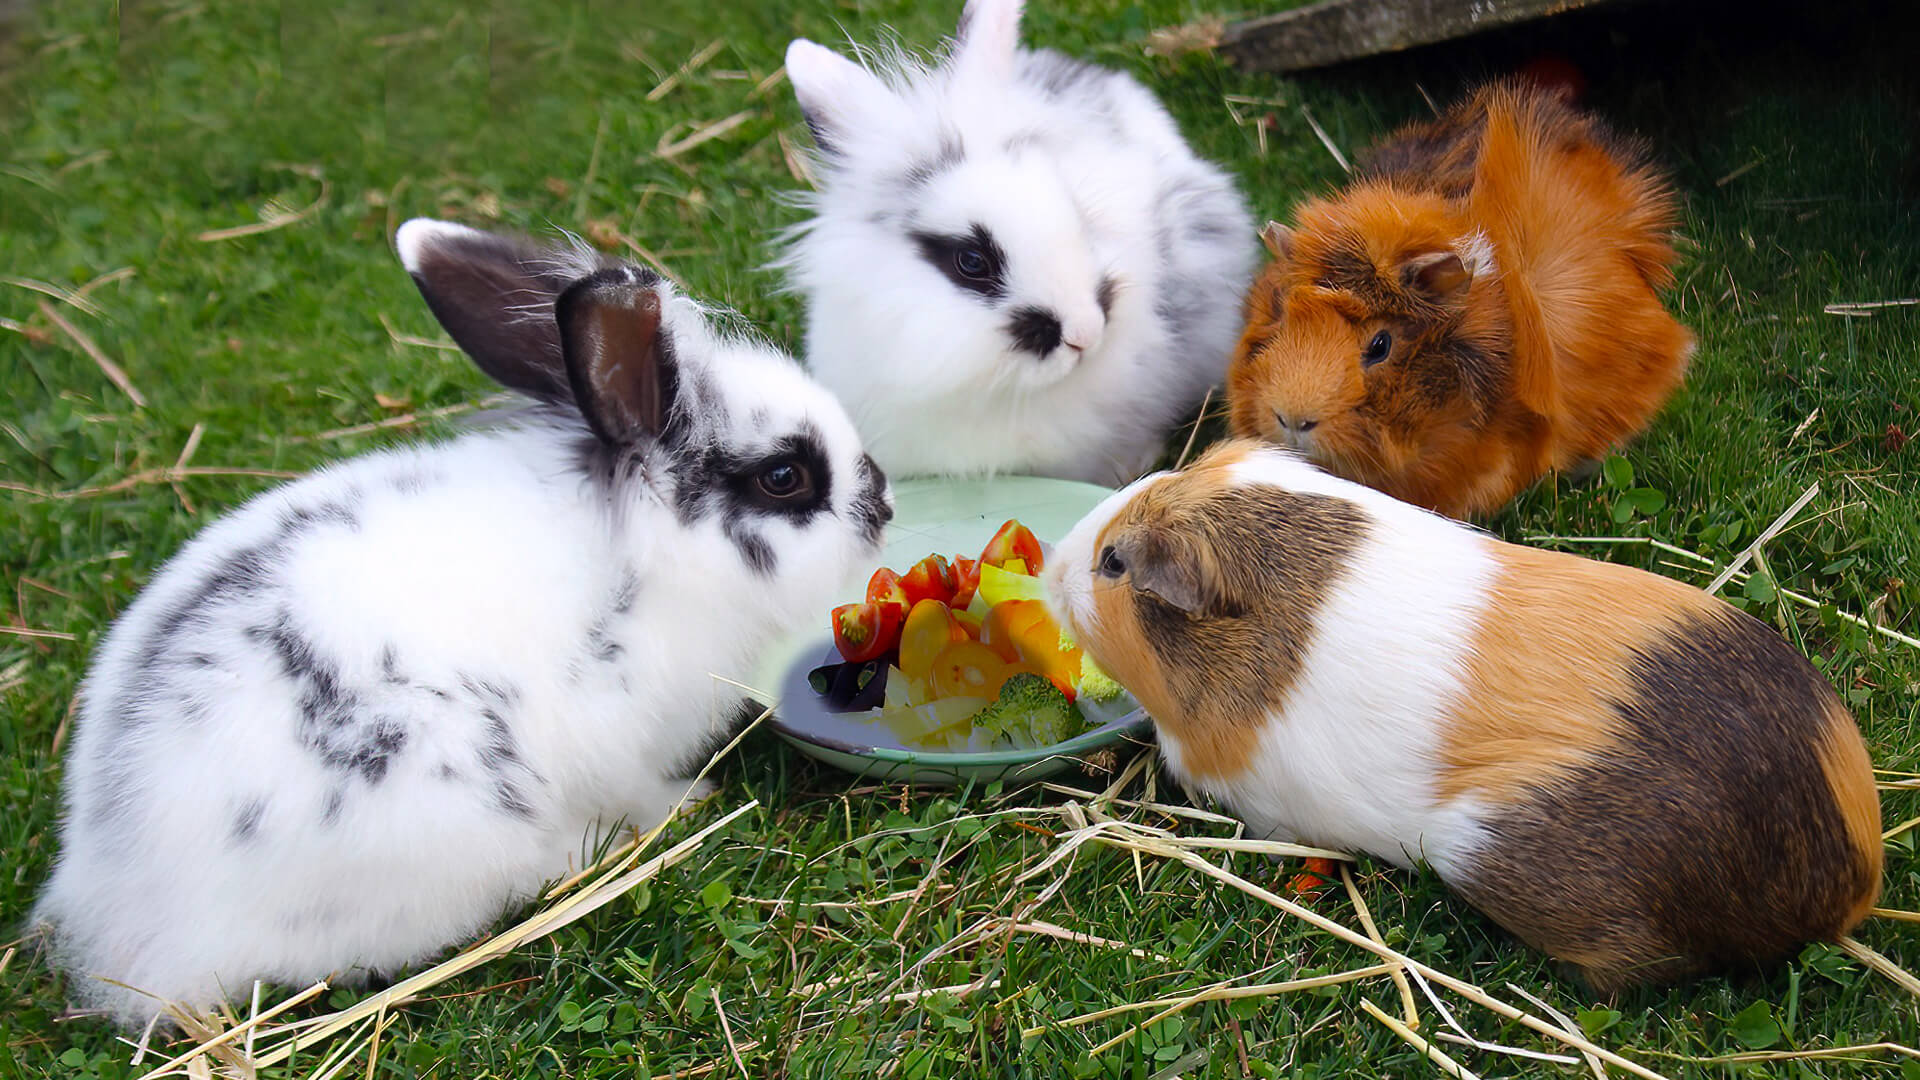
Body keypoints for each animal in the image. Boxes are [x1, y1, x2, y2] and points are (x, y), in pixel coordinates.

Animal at [31, 219, 893, 1028]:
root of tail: (131, 913)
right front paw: (691, 801)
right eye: (784, 476)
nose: (882, 502)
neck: (647, 554)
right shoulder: (619, 741)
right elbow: (641, 788)